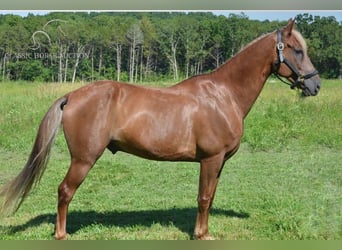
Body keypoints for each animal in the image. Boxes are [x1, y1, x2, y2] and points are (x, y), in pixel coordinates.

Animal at [0, 19, 320, 238]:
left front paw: (204, 232)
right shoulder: (210, 159)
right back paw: (61, 234)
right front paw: (200, 235)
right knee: (65, 191)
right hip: (83, 159)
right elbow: (204, 198)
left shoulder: (218, 163)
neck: (223, 94)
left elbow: (211, 197)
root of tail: (73, 95)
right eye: (296, 50)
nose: (315, 85)